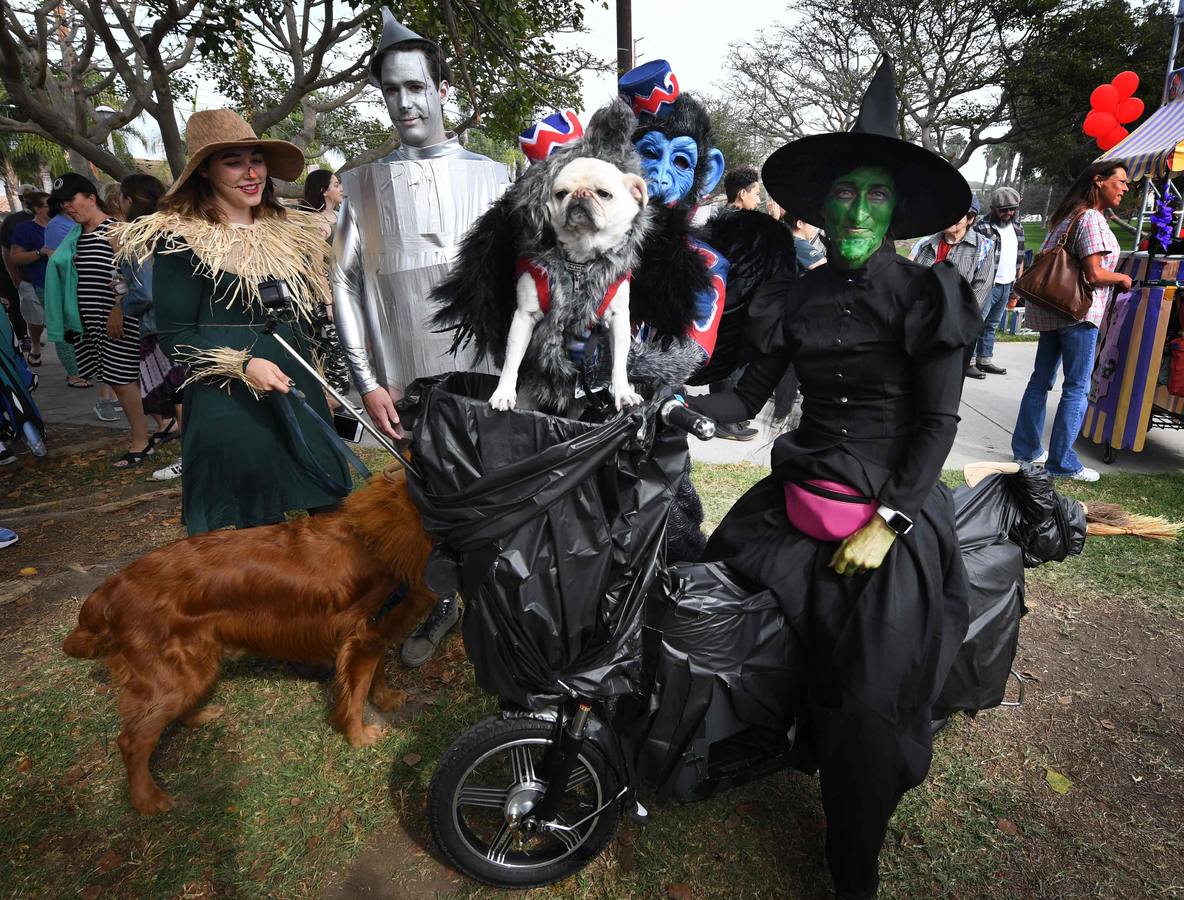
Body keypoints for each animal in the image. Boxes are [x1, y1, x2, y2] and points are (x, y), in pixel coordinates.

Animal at [487, 158, 648, 414]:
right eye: (560, 194)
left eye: (604, 194)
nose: (580, 194)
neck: (579, 262)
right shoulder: (523, 317)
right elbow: (512, 359)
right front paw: (503, 393)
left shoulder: (618, 318)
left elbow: (619, 362)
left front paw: (623, 392)